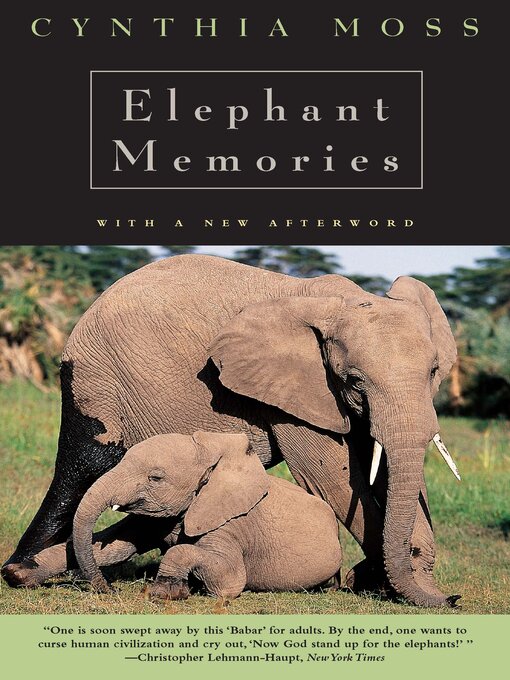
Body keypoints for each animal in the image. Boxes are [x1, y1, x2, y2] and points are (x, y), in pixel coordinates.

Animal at [71, 431, 342, 598]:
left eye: (155, 478)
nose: (110, 590)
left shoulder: (230, 524)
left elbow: (231, 581)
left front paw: (166, 591)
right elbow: (113, 549)